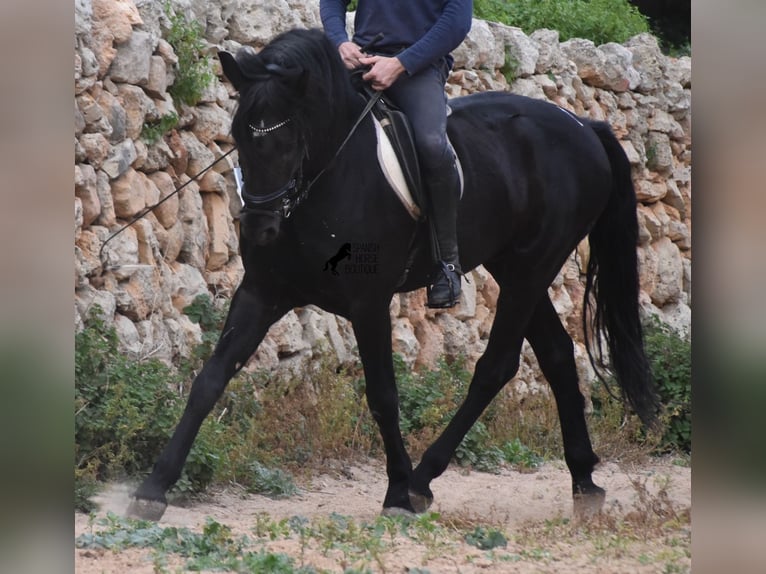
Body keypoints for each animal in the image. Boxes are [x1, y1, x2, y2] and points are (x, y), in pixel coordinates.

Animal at [129, 27, 656, 520]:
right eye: (239, 134)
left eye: (289, 139)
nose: (259, 228)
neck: (328, 180)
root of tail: (583, 124)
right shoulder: (262, 292)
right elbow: (210, 379)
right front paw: (153, 488)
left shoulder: (369, 304)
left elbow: (383, 393)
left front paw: (398, 491)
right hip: (516, 269)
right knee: (557, 355)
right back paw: (584, 481)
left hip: (531, 268)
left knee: (497, 366)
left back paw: (424, 480)